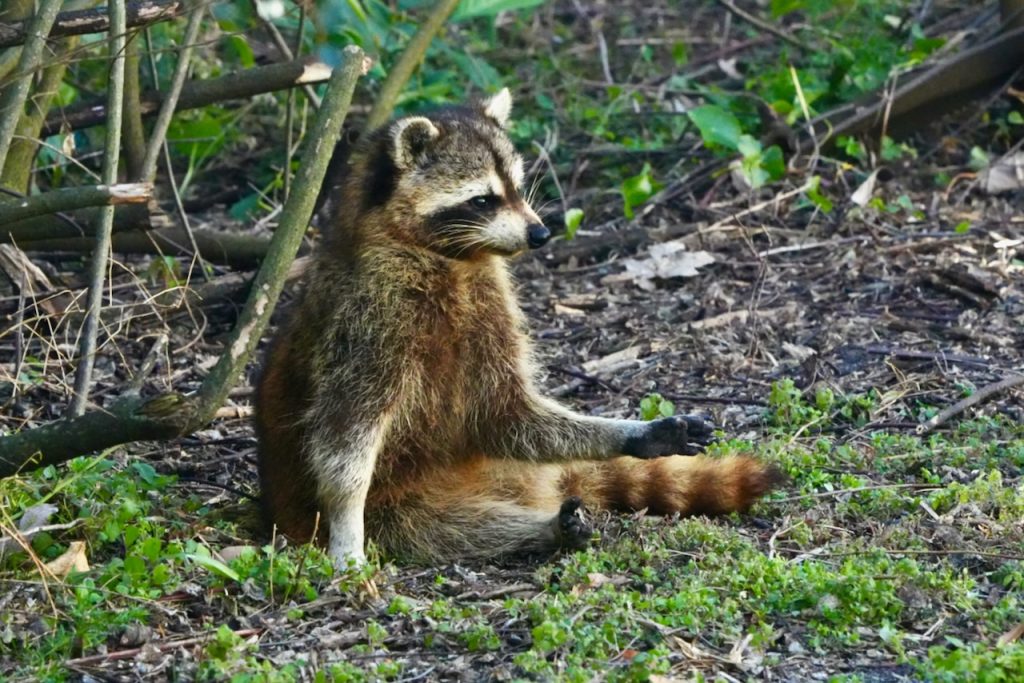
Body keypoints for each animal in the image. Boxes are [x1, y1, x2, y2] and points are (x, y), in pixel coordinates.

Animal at [255, 89, 781, 566]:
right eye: (483, 199)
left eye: (517, 187)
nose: (540, 233)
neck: (451, 258)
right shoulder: (366, 320)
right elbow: (344, 434)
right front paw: (346, 528)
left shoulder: (490, 306)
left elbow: (507, 413)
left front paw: (630, 431)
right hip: (391, 500)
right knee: (444, 528)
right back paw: (540, 530)